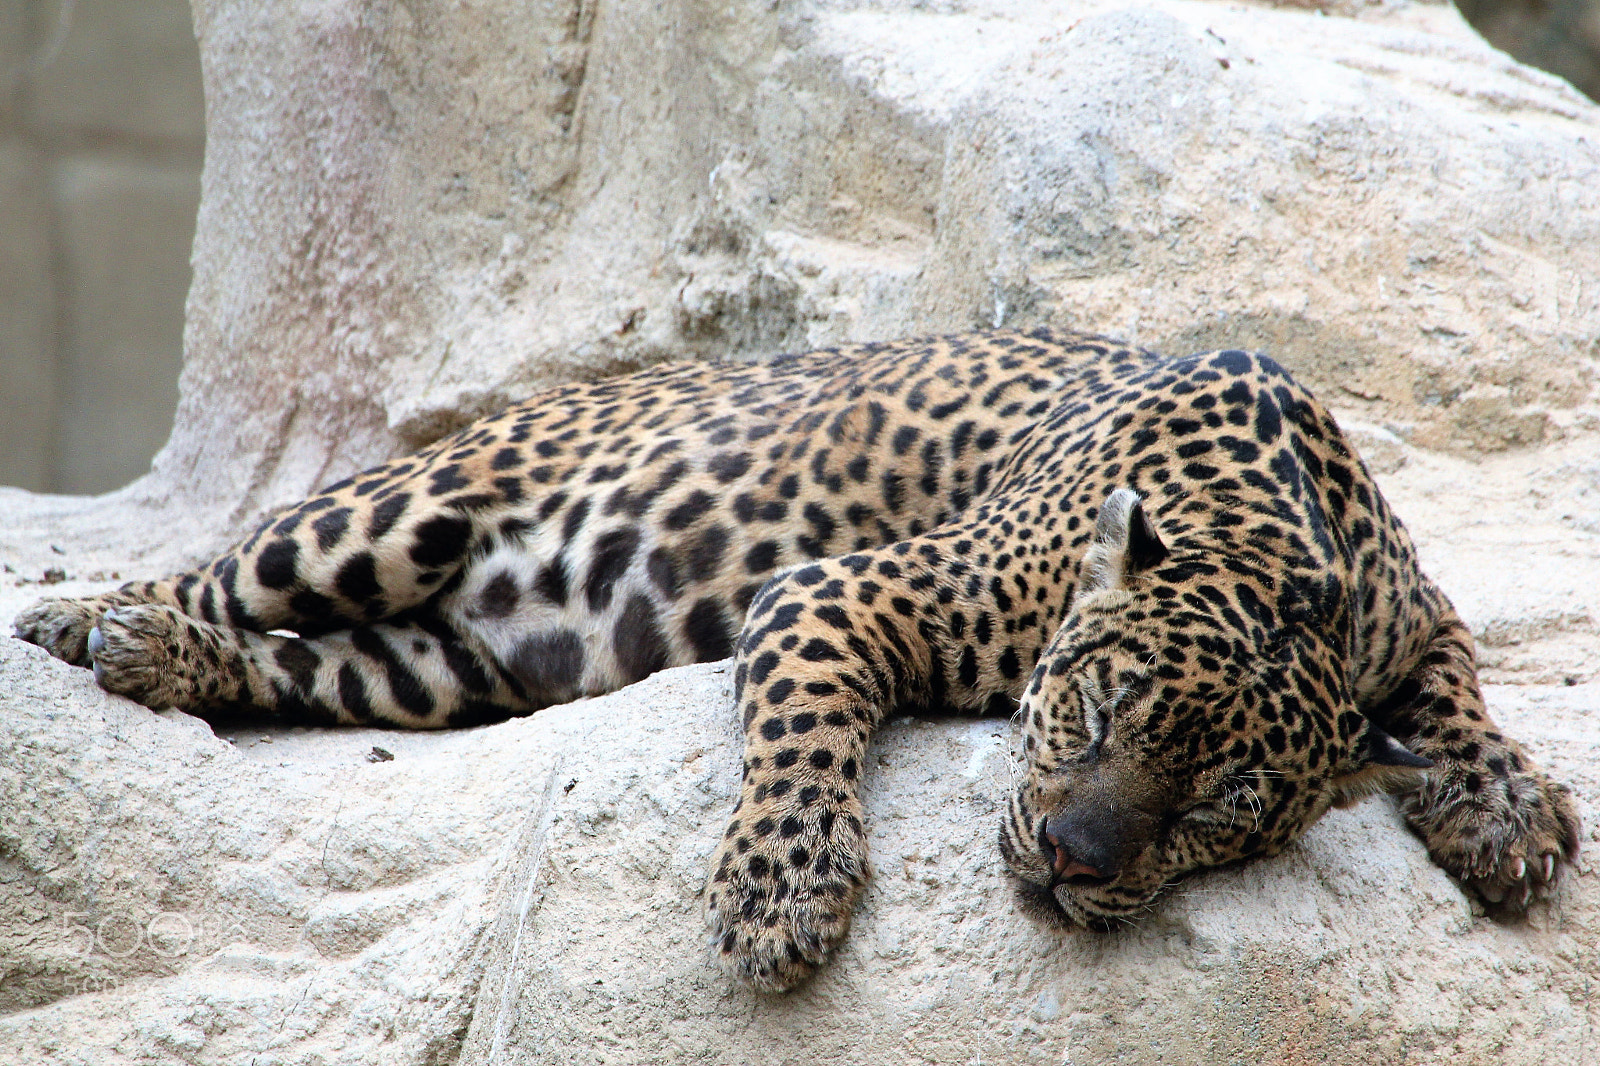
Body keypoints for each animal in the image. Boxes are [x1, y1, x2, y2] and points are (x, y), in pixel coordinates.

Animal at [14, 328, 1579, 992]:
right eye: (1090, 710)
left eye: (1216, 812)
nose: (1072, 858)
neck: (1283, 557)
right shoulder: (846, 589)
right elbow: (809, 725)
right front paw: (783, 890)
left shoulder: (1418, 611)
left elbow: (1457, 687)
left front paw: (1501, 804)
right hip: (389, 516)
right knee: (232, 562)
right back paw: (92, 618)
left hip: (445, 665)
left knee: (310, 666)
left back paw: (160, 655)